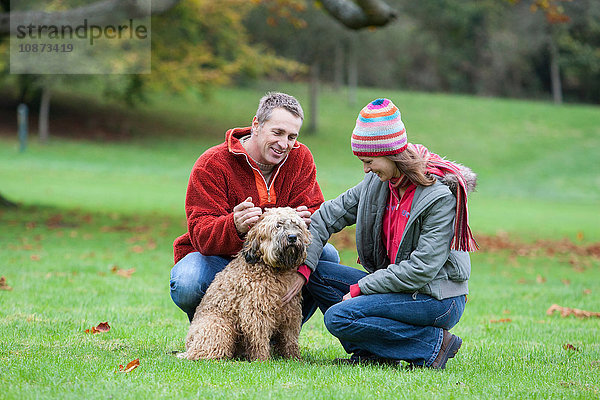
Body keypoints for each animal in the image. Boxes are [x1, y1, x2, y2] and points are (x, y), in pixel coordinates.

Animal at [177, 208, 310, 360]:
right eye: (278, 225)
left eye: (296, 225)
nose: (292, 237)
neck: (275, 270)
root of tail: (190, 344)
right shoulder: (256, 312)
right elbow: (259, 338)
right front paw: (262, 359)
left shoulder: (291, 312)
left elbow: (290, 339)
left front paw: (294, 358)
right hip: (219, 327)